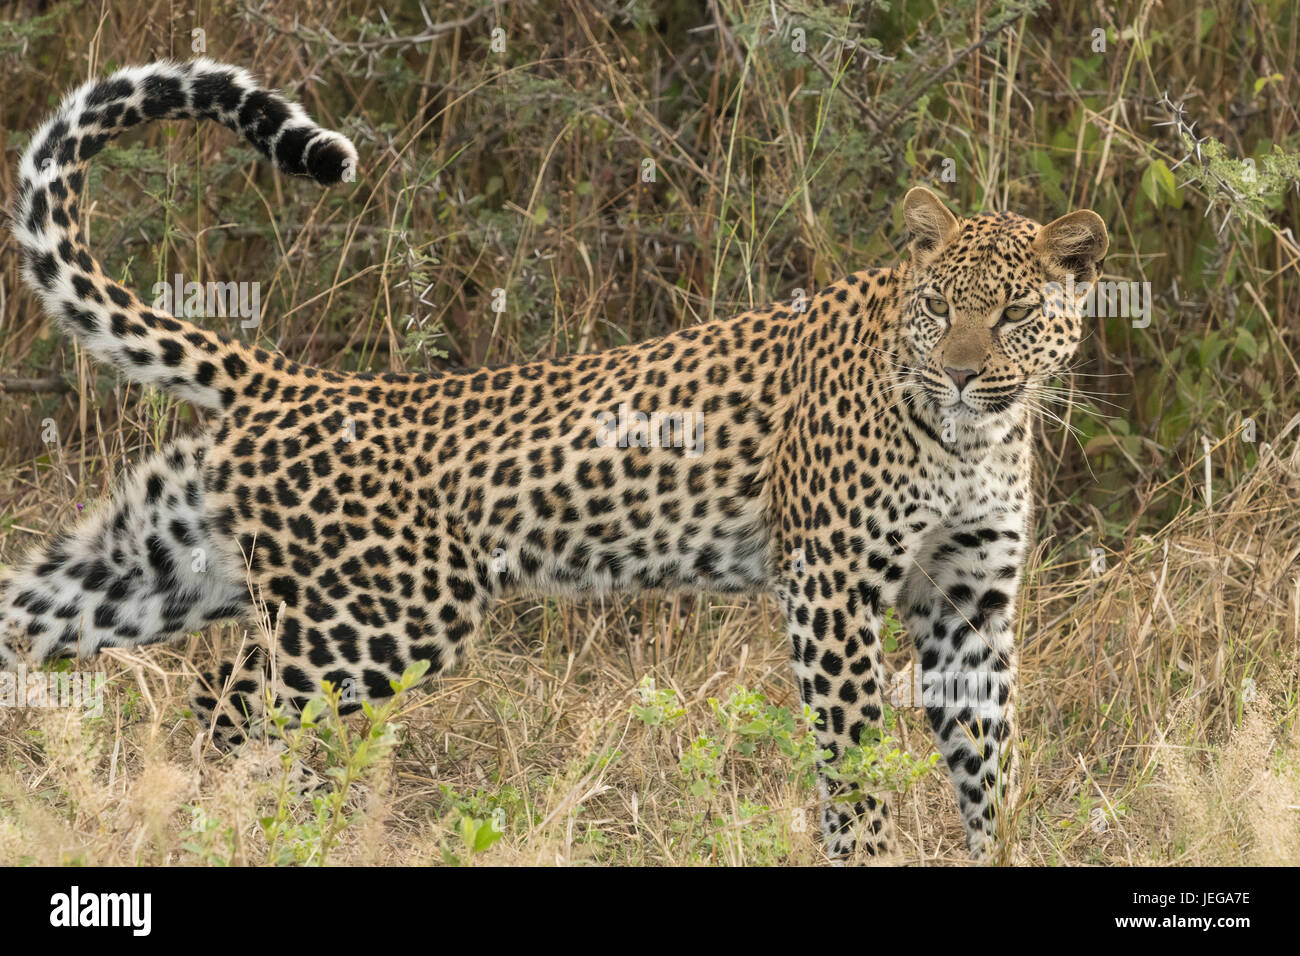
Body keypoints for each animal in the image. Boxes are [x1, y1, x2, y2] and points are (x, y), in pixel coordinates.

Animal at [2, 58, 1107, 861]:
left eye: (1013, 313)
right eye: (940, 307)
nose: (961, 375)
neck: (973, 437)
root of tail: (289, 381)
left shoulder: (968, 599)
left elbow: (990, 762)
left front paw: (1003, 851)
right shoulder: (830, 584)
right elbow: (854, 759)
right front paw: (868, 853)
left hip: (156, 567)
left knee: (54, 630)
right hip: (376, 622)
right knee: (227, 709)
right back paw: (227, 828)